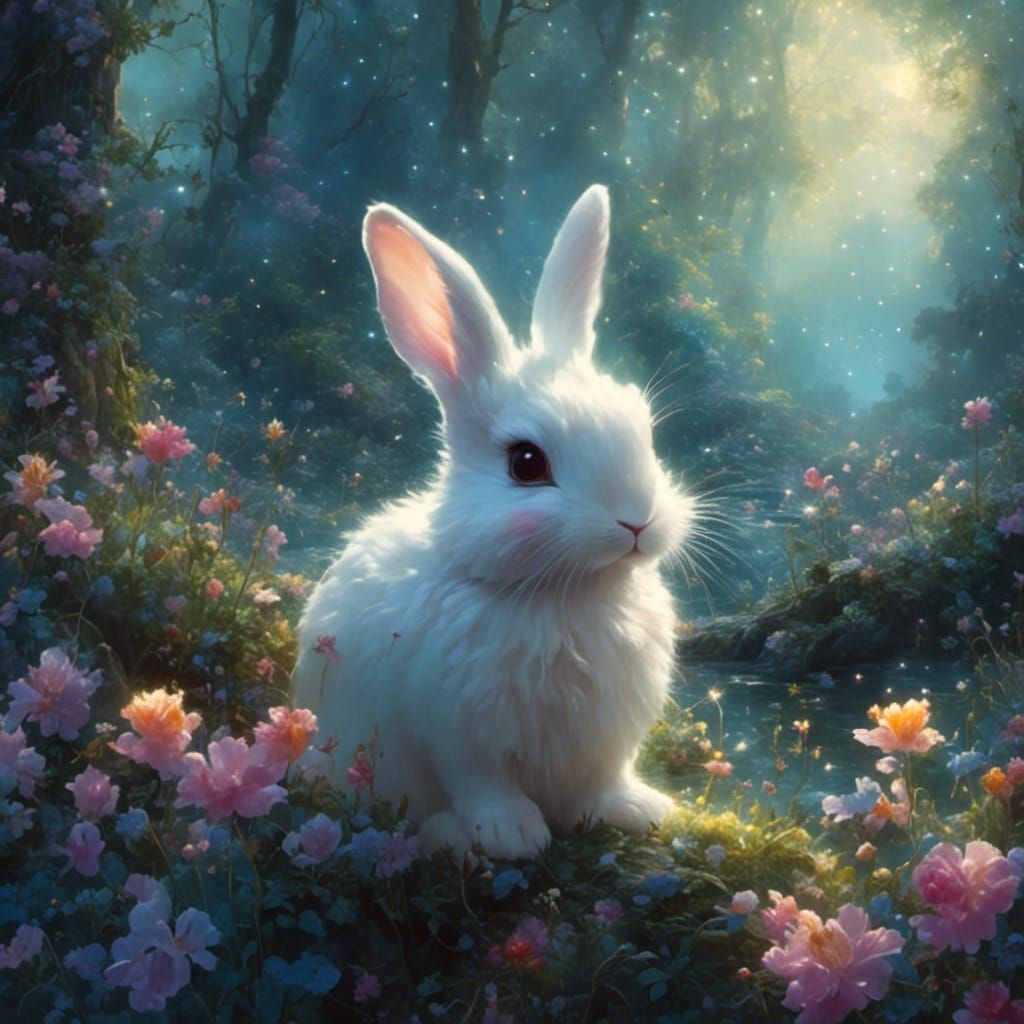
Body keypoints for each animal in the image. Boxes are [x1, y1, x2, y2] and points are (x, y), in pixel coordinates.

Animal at [292, 184, 694, 860]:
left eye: (643, 429)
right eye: (527, 463)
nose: (636, 522)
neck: (563, 596)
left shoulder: (605, 740)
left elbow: (604, 782)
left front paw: (638, 810)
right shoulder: (458, 731)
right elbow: (483, 785)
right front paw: (513, 835)